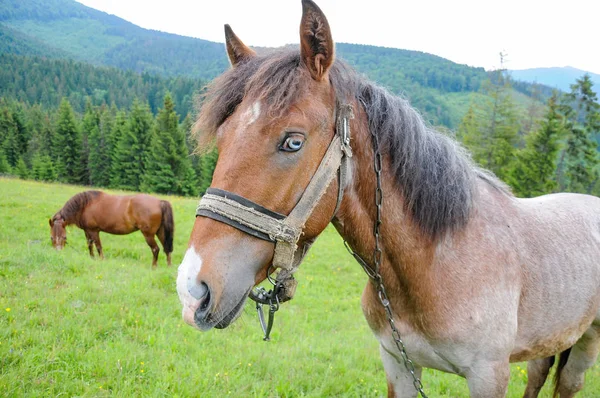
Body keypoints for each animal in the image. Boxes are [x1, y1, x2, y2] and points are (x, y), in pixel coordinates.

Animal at [176, 1, 600, 396]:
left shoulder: (488, 376)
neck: (436, 262)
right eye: (223, 137)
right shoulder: (398, 363)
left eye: (292, 142)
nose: (192, 290)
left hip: (587, 341)